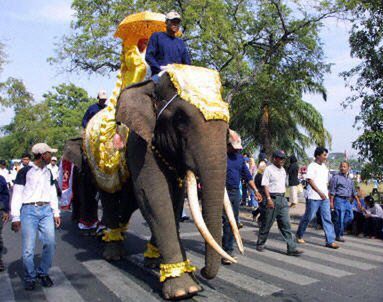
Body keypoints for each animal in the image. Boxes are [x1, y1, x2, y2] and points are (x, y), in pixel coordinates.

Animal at [63, 68, 243, 300]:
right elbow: (153, 196)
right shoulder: (140, 142)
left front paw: (156, 264)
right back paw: (112, 252)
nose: (203, 271)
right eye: (180, 119)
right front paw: (185, 289)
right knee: (109, 197)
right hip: (99, 165)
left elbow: (175, 199)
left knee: (127, 202)